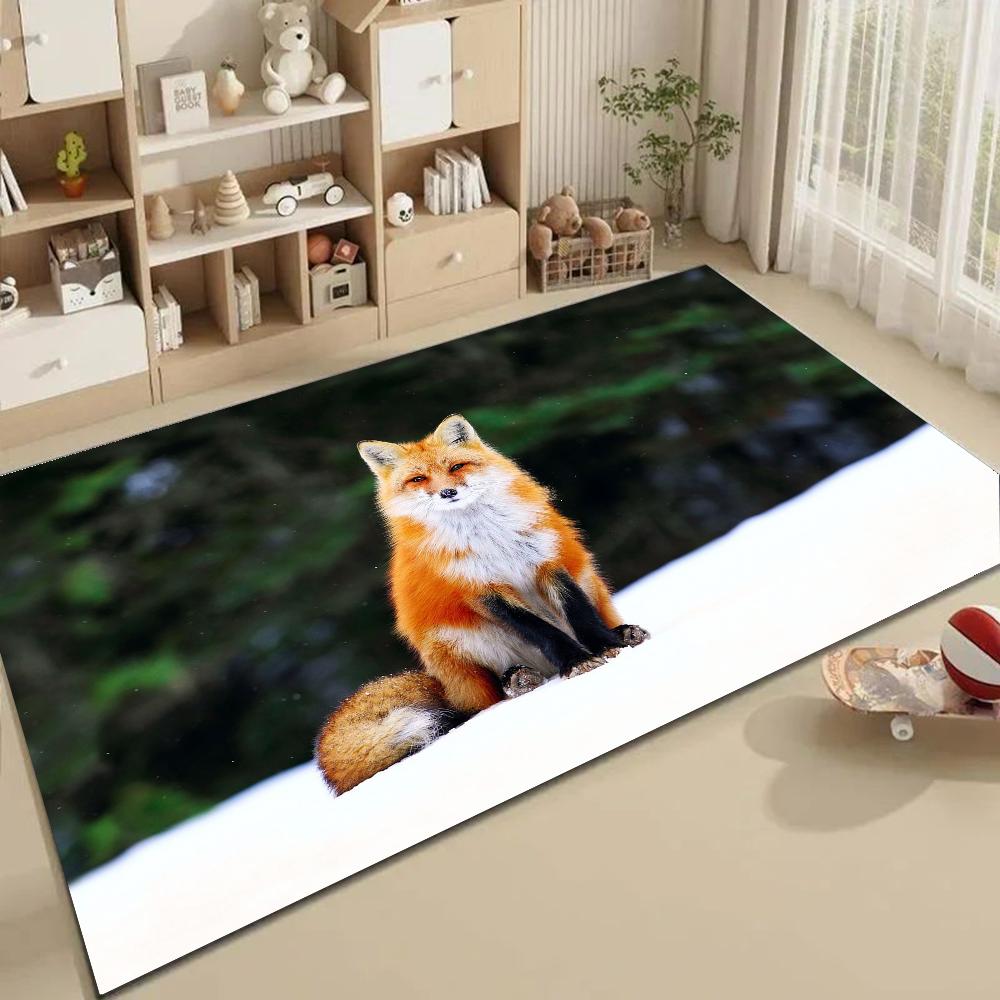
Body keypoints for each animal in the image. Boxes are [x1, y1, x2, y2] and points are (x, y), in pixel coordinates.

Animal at [314, 414, 649, 793]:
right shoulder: (480, 591)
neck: (487, 540)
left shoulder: (547, 563)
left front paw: (606, 646)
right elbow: (542, 632)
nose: (447, 492)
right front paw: (576, 661)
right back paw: (516, 680)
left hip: (590, 580)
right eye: (419, 479)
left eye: (456, 467)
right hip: (455, 641)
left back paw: (623, 633)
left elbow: (579, 614)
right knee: (488, 701)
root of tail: (446, 687)